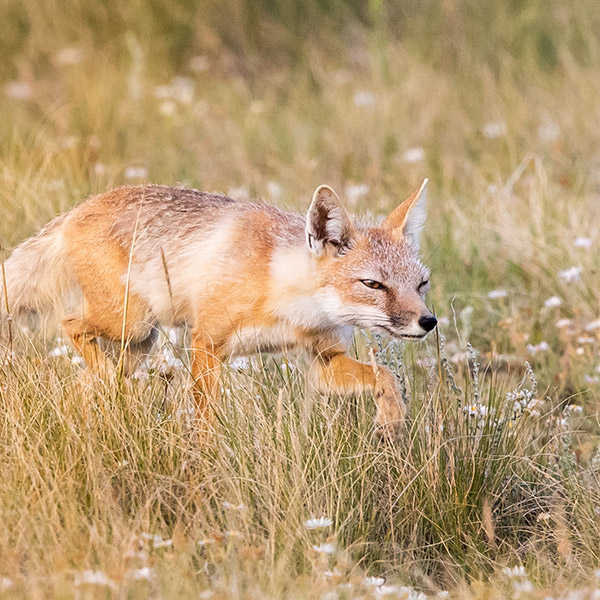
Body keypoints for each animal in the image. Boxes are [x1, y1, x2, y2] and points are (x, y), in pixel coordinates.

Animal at [2, 180, 438, 434]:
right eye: (373, 284)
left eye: (421, 284)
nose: (428, 321)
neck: (284, 296)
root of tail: (73, 212)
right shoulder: (206, 344)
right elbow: (206, 420)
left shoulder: (324, 361)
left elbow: (386, 377)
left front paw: (392, 421)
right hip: (131, 325)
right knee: (70, 325)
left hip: (137, 344)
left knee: (81, 384)